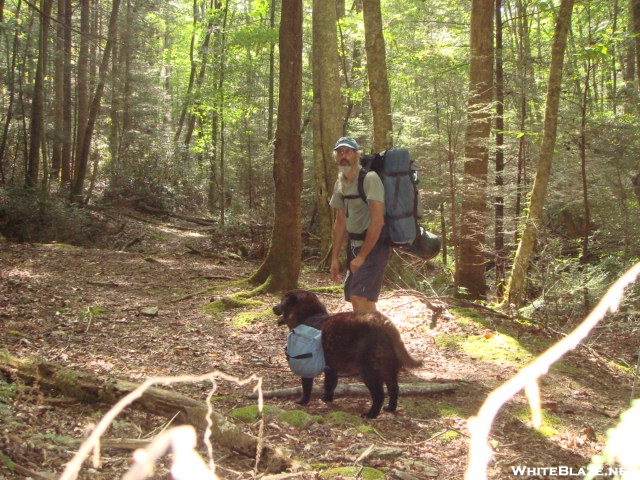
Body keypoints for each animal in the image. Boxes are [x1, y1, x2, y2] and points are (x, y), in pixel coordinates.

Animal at [272, 288, 422, 416]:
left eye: (282, 301)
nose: (273, 308)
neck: (309, 316)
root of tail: (384, 324)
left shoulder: (306, 365)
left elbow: (307, 387)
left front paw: (302, 401)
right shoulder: (331, 368)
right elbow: (329, 384)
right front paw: (327, 398)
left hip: (368, 371)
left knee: (379, 394)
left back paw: (371, 414)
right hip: (388, 369)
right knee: (394, 388)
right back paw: (390, 408)